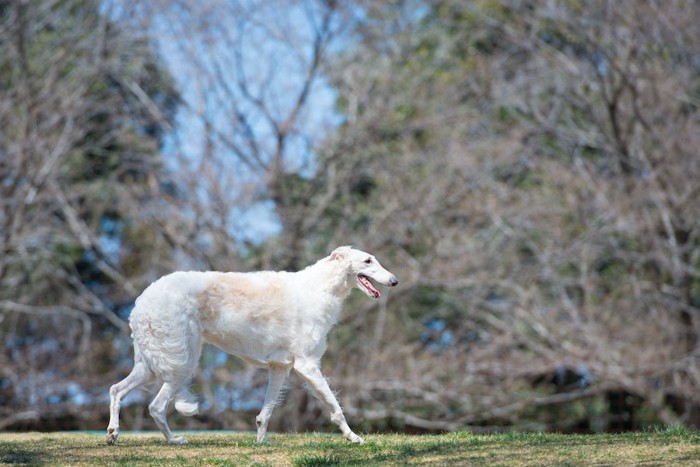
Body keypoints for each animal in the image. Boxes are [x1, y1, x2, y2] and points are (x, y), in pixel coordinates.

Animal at [106, 245, 396, 446]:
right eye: (368, 260)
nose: (394, 280)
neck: (319, 288)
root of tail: (142, 301)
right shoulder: (307, 365)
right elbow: (336, 408)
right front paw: (354, 438)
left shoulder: (280, 367)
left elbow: (264, 414)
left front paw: (261, 441)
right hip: (181, 361)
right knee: (155, 406)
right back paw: (174, 440)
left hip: (151, 364)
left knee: (116, 390)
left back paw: (112, 433)